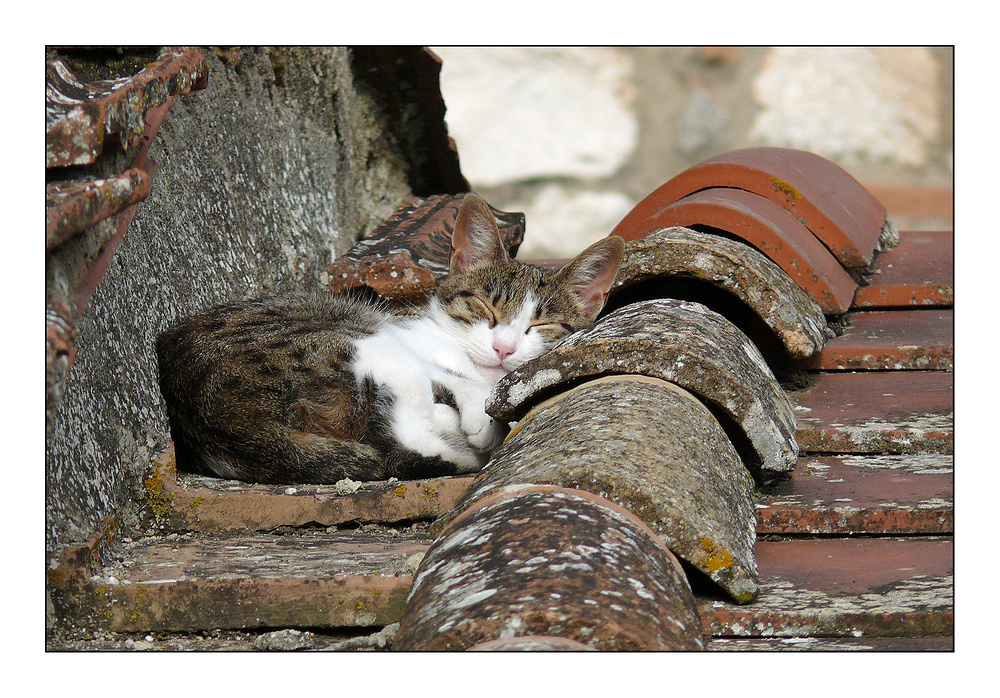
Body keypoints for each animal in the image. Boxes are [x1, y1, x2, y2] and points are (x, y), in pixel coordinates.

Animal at [154, 193, 624, 482]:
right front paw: (477, 415)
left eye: (540, 326)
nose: (503, 348)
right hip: (362, 341)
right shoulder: (408, 340)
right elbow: (457, 381)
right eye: (485, 308)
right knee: (403, 434)